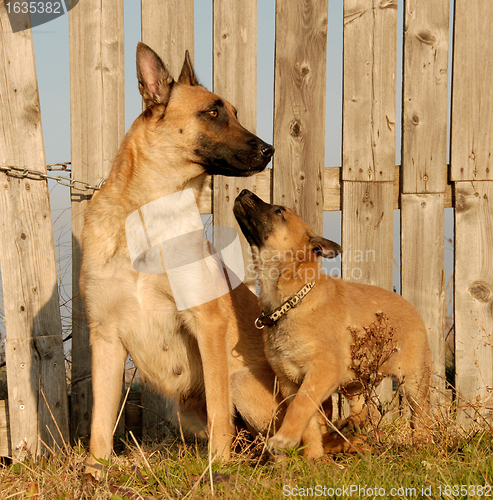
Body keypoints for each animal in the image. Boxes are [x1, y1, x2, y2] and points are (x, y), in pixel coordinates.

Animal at [79, 42, 276, 476]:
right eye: (213, 113)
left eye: (234, 111)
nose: (269, 149)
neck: (147, 216)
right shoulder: (105, 336)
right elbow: (100, 418)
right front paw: (95, 473)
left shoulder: (208, 325)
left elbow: (219, 409)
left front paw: (217, 469)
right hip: (185, 412)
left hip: (243, 383)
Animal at [233, 189, 428, 458]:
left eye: (279, 211)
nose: (243, 191)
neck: (292, 300)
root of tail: (410, 306)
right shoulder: (289, 382)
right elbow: (309, 423)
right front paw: (313, 457)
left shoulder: (321, 371)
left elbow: (301, 407)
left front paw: (283, 439)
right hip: (353, 380)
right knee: (362, 405)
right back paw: (352, 424)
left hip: (413, 381)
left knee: (420, 416)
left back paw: (420, 443)